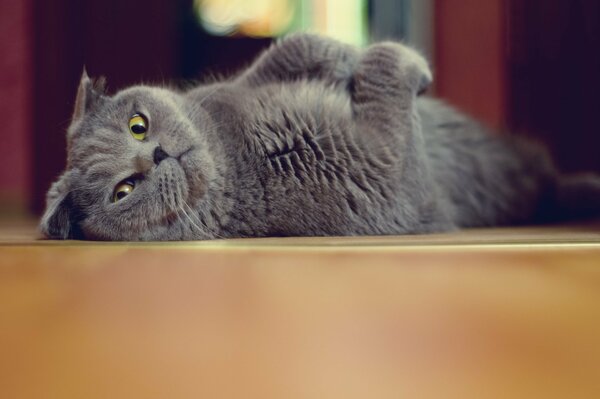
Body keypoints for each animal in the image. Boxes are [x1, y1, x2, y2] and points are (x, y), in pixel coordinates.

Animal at [39, 33, 596, 241]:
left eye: (138, 124)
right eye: (123, 191)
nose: (155, 154)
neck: (238, 151)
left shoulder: (237, 88)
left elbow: (288, 49)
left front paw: (342, 56)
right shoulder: (388, 180)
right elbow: (386, 85)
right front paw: (397, 61)